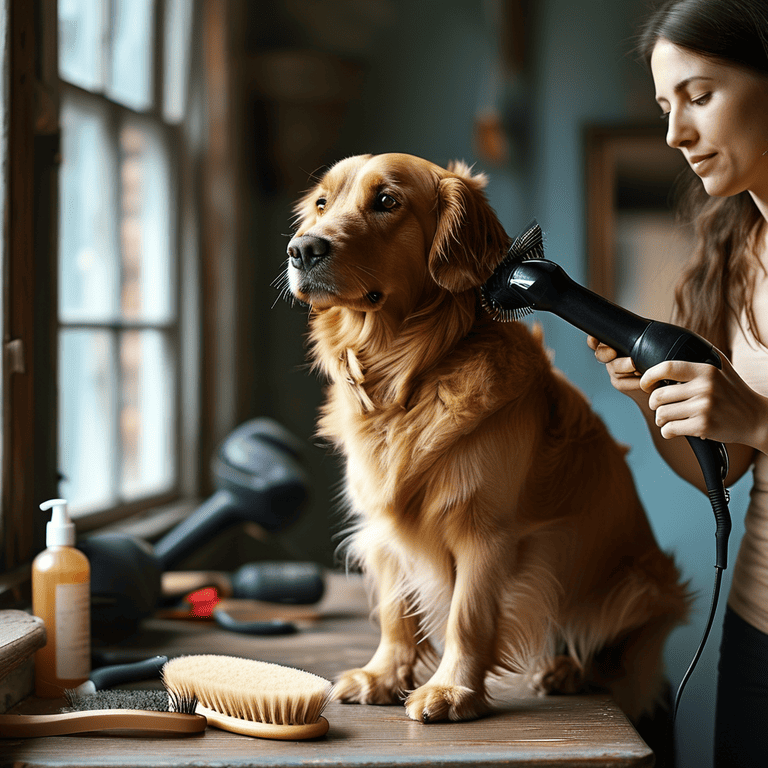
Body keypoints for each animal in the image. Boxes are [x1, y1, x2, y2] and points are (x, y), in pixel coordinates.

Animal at [284, 153, 688, 724]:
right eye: (321, 203)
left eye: (386, 201)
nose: (301, 248)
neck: (407, 378)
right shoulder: (383, 528)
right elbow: (395, 611)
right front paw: (383, 675)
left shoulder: (486, 533)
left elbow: (467, 617)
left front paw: (452, 691)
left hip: (641, 585)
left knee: (613, 653)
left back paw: (569, 670)